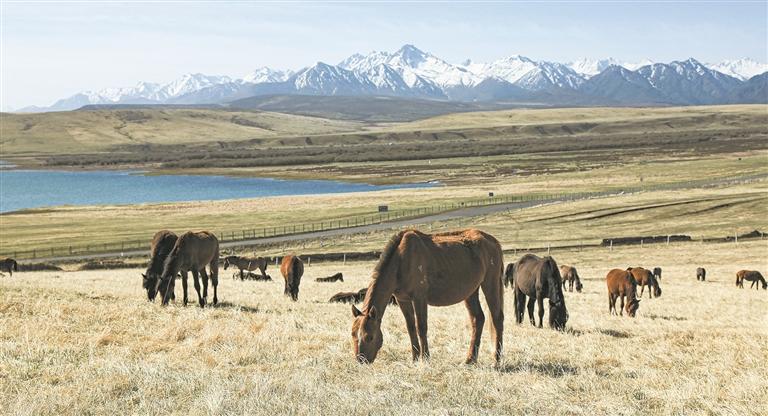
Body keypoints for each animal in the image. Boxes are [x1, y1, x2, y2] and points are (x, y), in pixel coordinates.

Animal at [351, 229, 504, 365]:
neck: (401, 260)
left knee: (497, 319)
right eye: (353, 334)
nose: (361, 360)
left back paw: (496, 360)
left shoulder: (419, 298)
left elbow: (421, 327)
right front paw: (415, 358)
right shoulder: (403, 300)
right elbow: (411, 328)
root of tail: (493, 241)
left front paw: (425, 358)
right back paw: (470, 360)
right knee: (478, 319)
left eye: (370, 337)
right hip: (470, 292)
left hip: (491, 284)